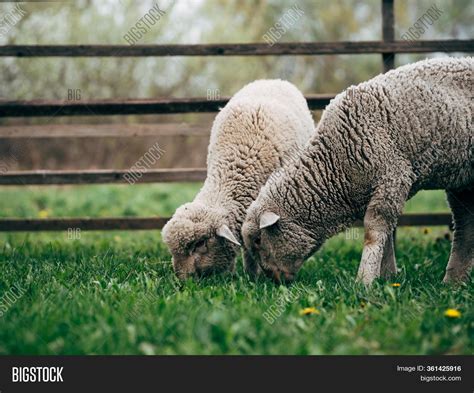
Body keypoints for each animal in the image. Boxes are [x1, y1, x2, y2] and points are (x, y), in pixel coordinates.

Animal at [243, 56, 472, 284]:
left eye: (258, 240)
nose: (274, 280)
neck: (334, 162)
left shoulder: (392, 176)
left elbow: (374, 230)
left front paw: (365, 279)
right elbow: (386, 235)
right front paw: (387, 276)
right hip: (463, 181)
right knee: (464, 223)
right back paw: (454, 281)